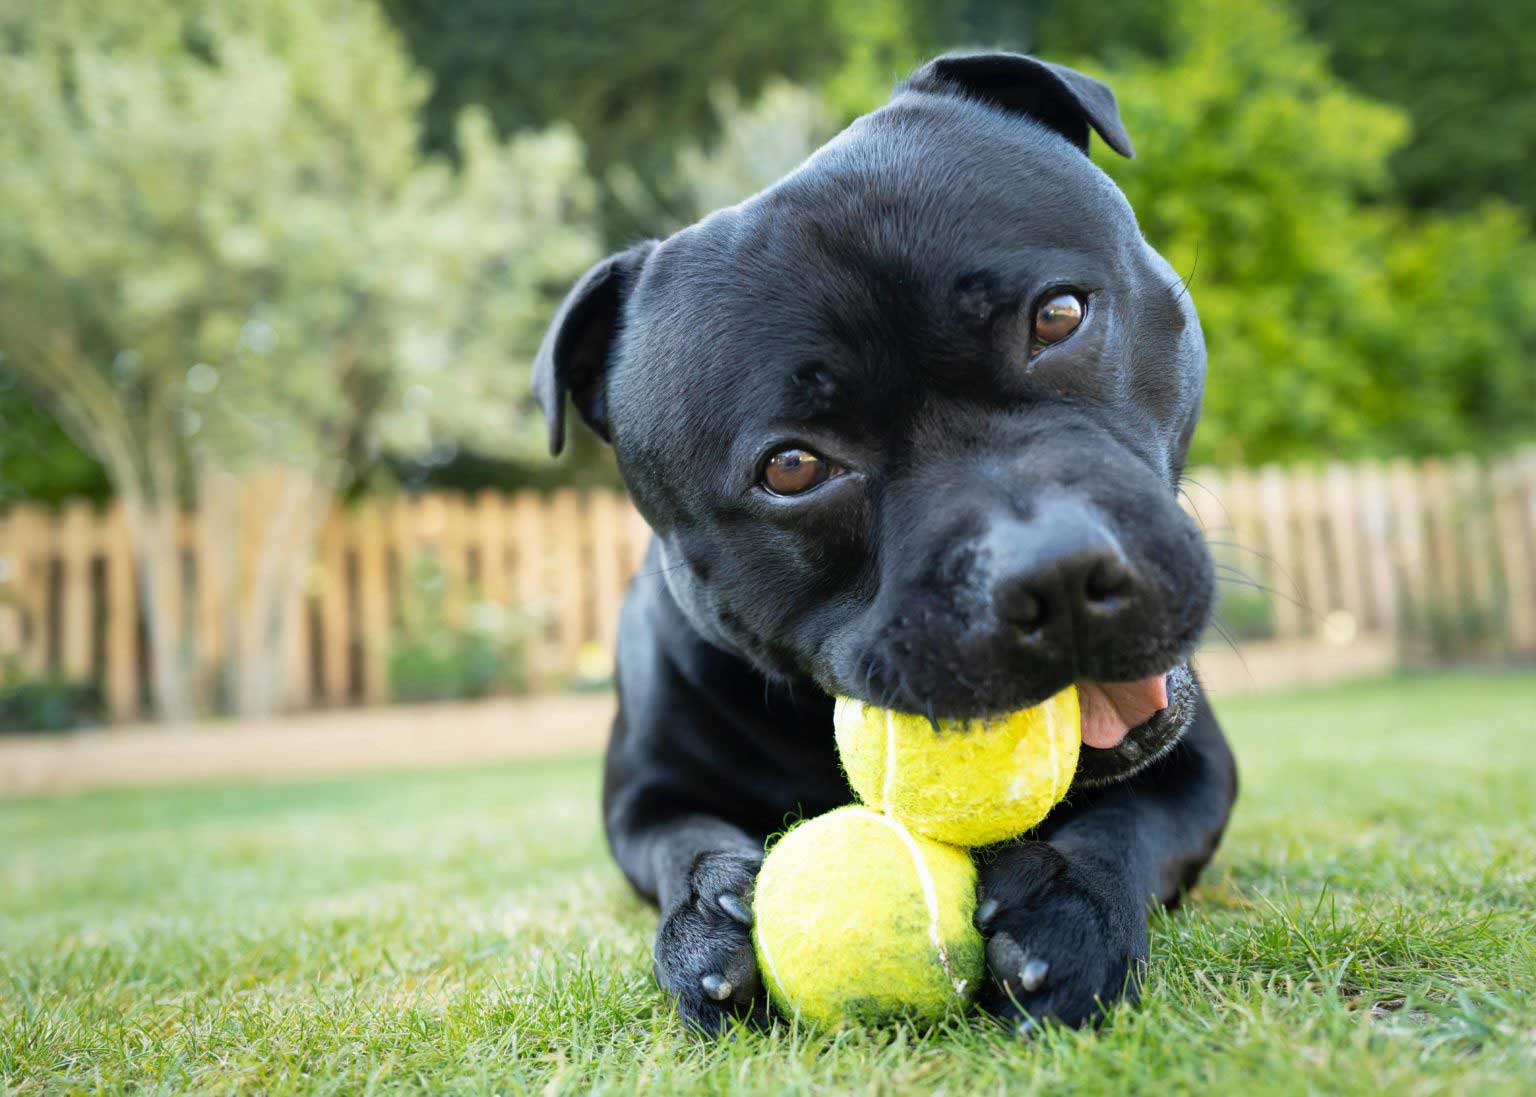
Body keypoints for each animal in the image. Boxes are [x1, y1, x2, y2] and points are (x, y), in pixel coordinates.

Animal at [534, 49, 1241, 1026]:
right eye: (793, 466)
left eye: (1058, 316)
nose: (1057, 573)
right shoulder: (643, 796)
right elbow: (681, 837)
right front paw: (709, 911)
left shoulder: (1198, 762)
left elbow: (1129, 818)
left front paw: (1071, 901)